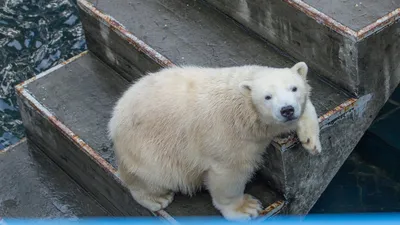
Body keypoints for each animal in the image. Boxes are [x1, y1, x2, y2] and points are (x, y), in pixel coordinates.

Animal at [109, 61, 322, 220]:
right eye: (267, 97)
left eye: (294, 88)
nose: (287, 109)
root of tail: (114, 121)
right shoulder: (228, 136)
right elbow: (229, 174)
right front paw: (247, 207)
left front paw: (311, 140)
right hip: (148, 150)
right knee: (151, 176)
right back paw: (158, 199)